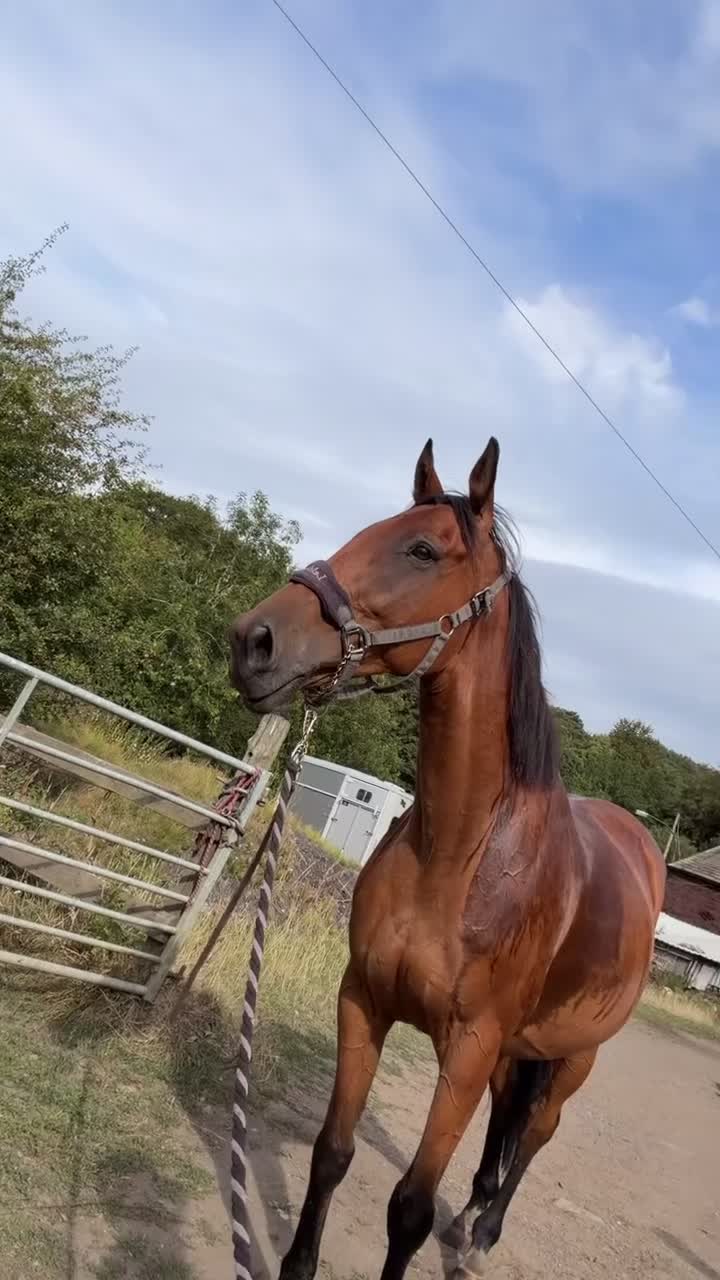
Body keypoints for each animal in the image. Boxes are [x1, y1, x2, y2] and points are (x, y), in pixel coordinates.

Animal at [229, 438, 666, 1280]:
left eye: (423, 550)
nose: (252, 641)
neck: (460, 857)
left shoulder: (466, 1051)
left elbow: (409, 1207)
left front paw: (441, 1225)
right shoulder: (364, 1001)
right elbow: (332, 1152)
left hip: (574, 1056)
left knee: (535, 1135)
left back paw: (481, 1233)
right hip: (516, 1053)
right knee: (504, 1129)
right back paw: (473, 1215)